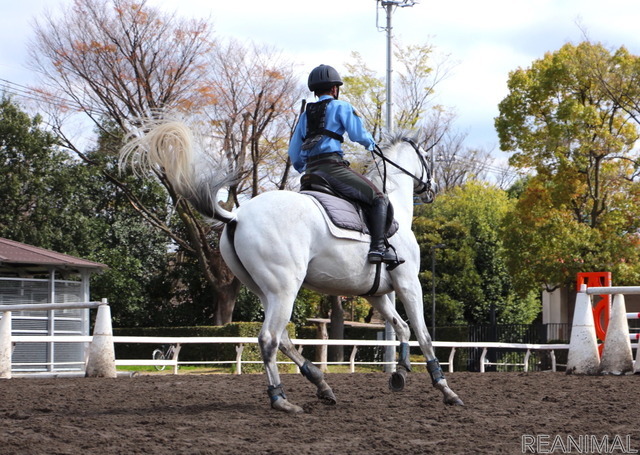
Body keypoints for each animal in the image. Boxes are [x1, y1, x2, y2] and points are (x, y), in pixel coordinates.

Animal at [120, 121, 462, 414]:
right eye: (427, 158)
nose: (432, 189)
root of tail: (237, 216)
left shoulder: (376, 293)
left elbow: (402, 327)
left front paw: (400, 373)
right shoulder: (408, 283)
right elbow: (423, 333)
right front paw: (445, 389)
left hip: (266, 291)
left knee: (282, 338)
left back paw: (321, 384)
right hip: (285, 288)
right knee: (269, 339)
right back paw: (281, 399)